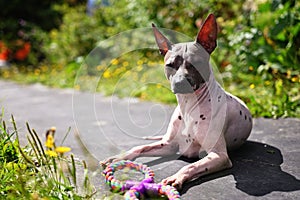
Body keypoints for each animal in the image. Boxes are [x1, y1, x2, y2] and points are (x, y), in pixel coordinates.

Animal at [101, 13, 253, 189]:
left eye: (196, 63)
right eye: (170, 65)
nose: (181, 82)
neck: (188, 106)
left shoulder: (219, 155)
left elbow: (191, 166)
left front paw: (177, 177)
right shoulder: (169, 145)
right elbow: (140, 147)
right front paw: (120, 157)